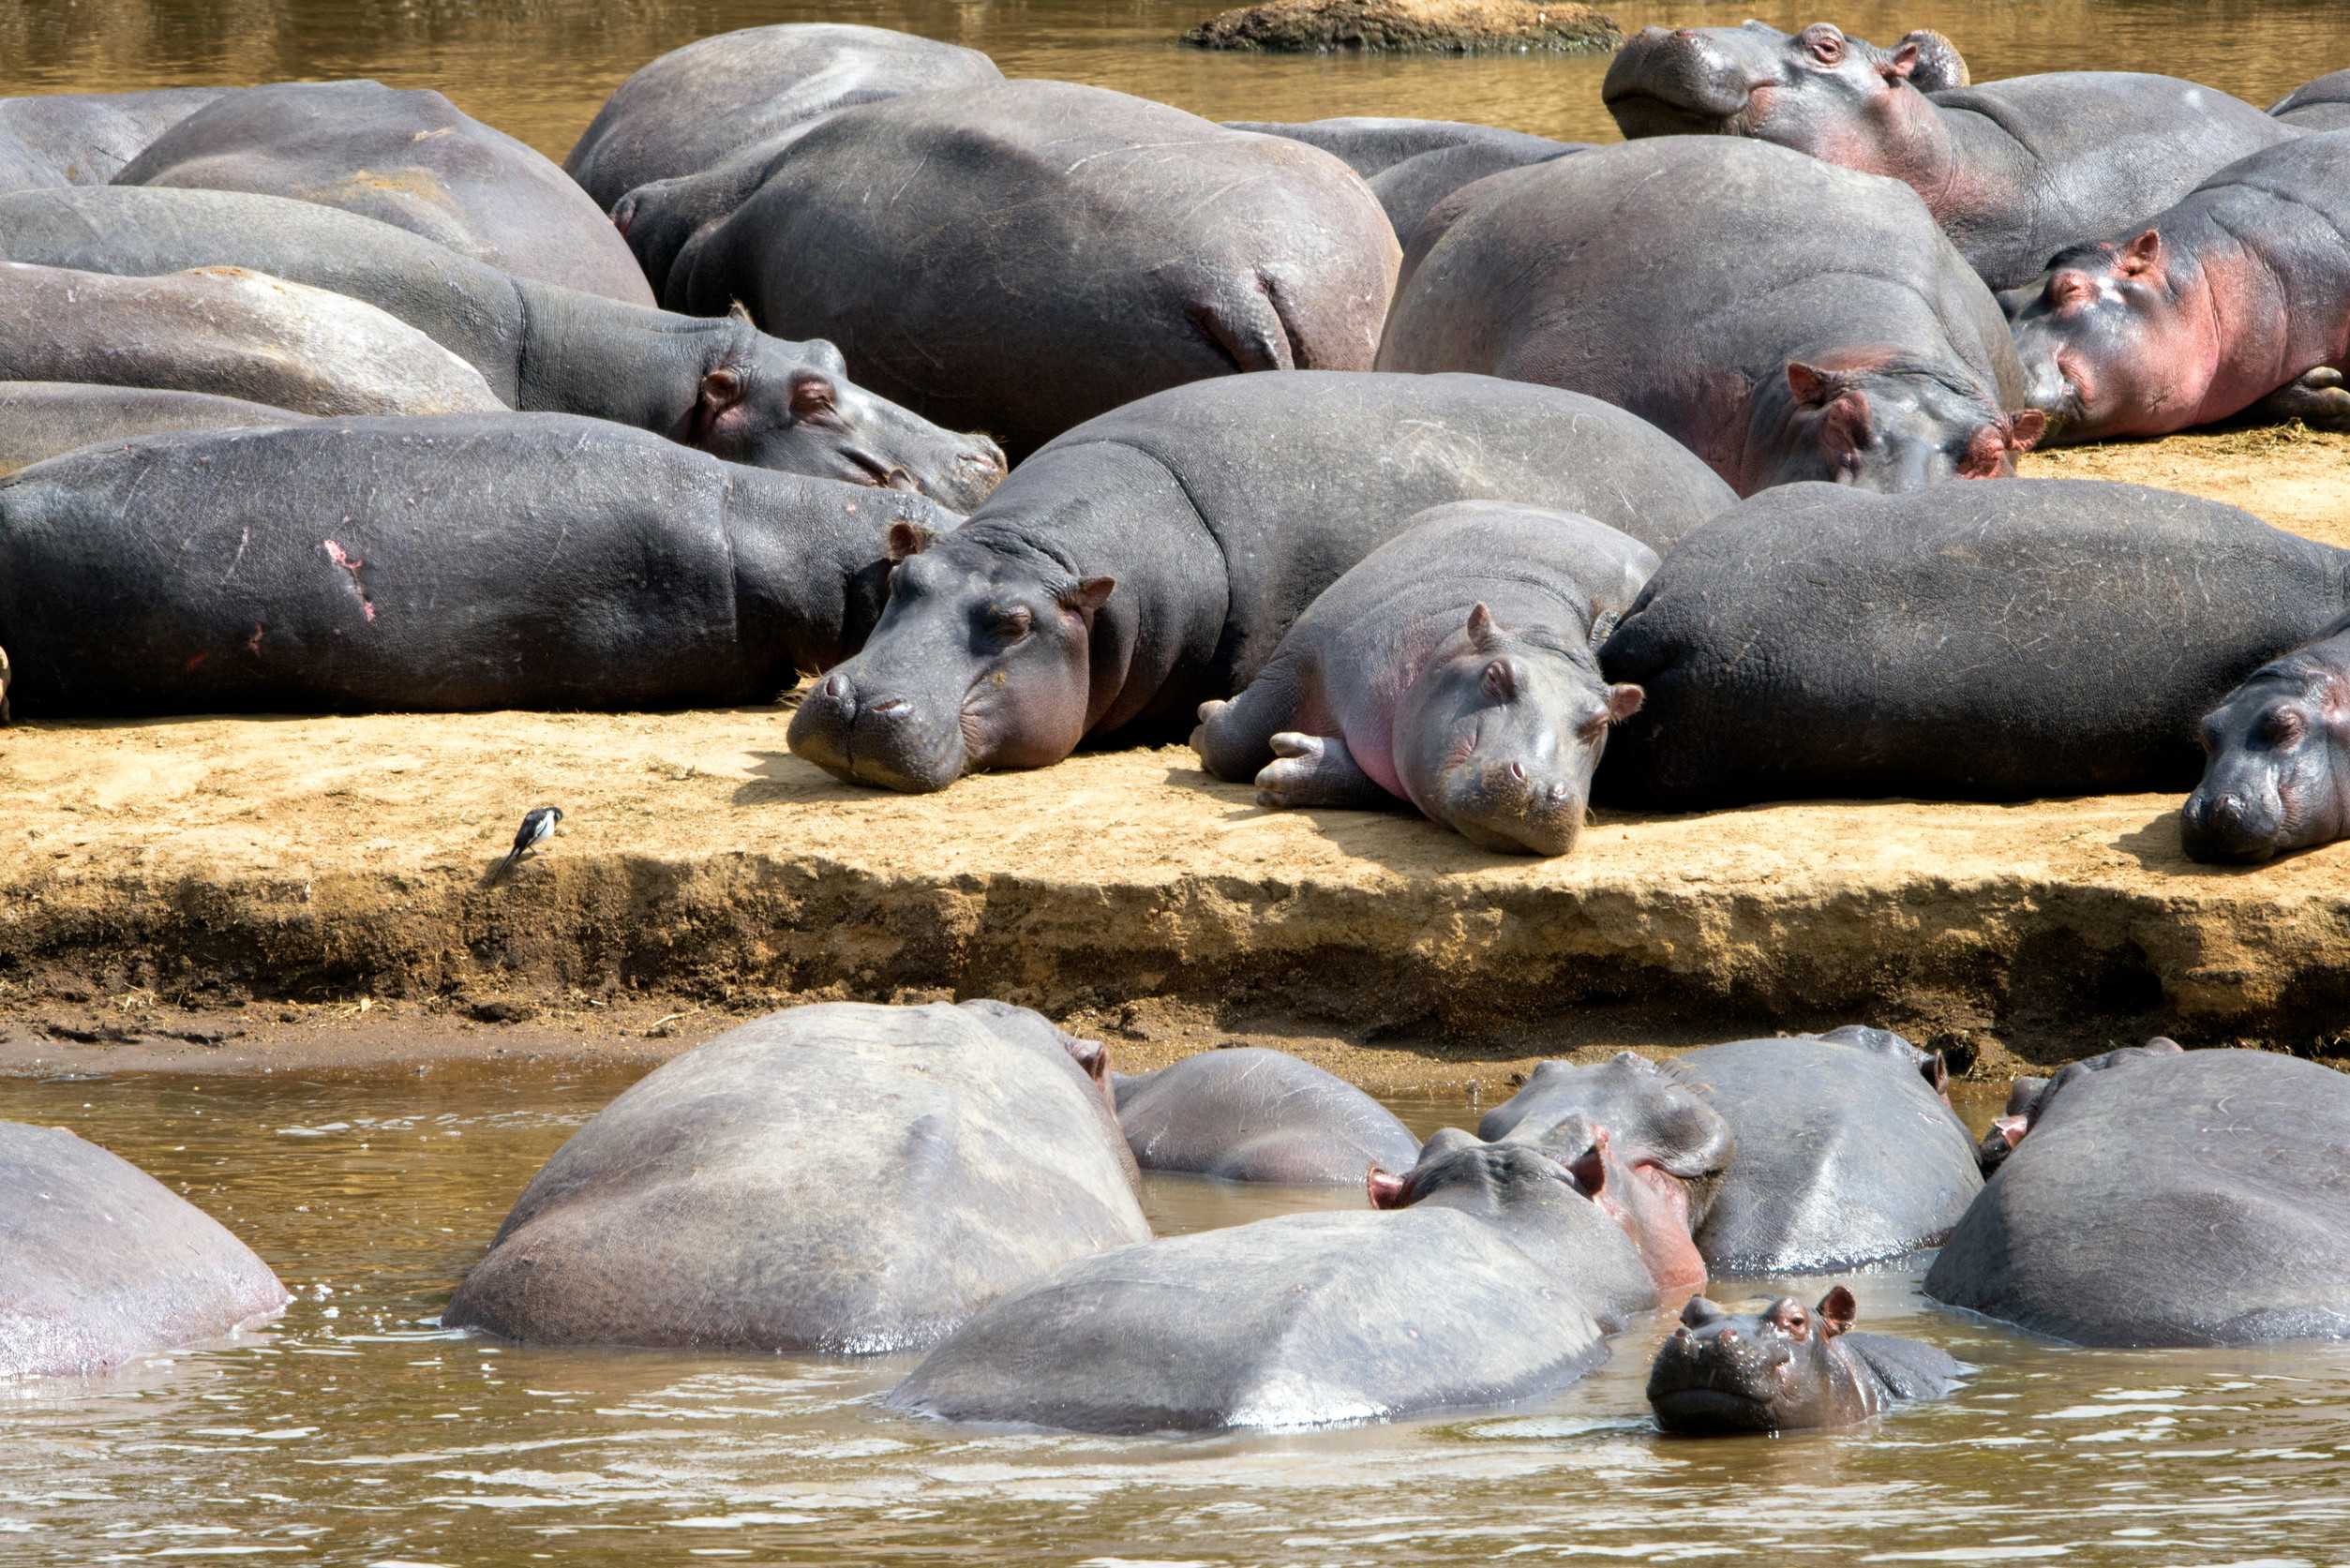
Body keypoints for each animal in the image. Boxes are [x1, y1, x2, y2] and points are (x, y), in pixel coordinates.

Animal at [1191, 502, 1655, 855]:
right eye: (1496, 675)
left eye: (1601, 722)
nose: (1541, 788)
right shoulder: (1305, 652)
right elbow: (1234, 739)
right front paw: (1205, 720)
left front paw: (1291, 765)